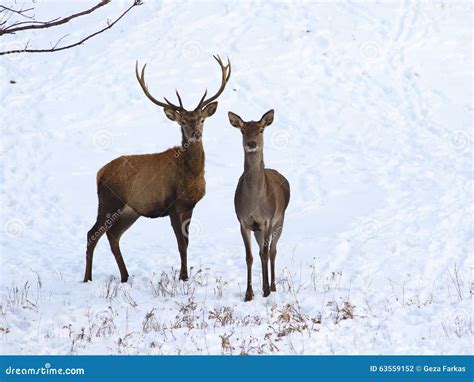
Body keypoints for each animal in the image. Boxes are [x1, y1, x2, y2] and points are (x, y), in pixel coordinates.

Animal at [85, 55, 233, 282]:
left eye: (201, 119)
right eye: (182, 122)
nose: (196, 133)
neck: (189, 177)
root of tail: (99, 173)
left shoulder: (190, 206)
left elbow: (187, 243)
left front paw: (185, 274)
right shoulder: (173, 205)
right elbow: (181, 244)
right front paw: (183, 277)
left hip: (130, 210)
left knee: (113, 235)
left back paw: (125, 276)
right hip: (109, 201)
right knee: (92, 234)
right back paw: (88, 278)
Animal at [229, 109, 290, 302]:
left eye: (261, 129)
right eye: (242, 131)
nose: (251, 143)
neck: (254, 203)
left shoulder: (267, 220)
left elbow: (265, 253)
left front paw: (266, 290)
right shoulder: (244, 222)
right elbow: (249, 257)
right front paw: (249, 294)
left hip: (280, 220)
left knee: (272, 251)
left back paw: (272, 286)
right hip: (258, 230)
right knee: (261, 252)